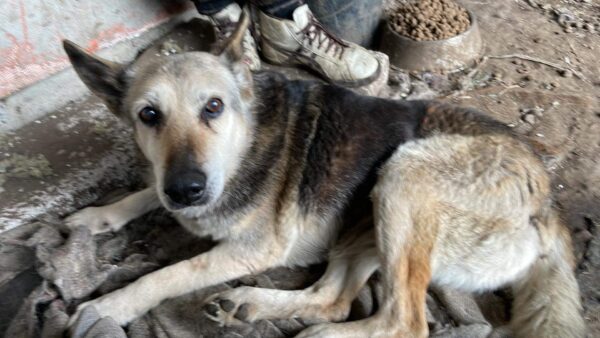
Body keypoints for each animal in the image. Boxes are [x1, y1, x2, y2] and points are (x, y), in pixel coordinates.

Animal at [63, 13, 584, 338]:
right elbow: (144, 191)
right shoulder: (174, 179)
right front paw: (96, 217)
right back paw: (250, 306)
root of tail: (547, 203)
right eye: (149, 115)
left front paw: (111, 306)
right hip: (366, 222)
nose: (188, 190)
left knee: (404, 320)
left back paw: (313, 331)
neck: (246, 139)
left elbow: (168, 275)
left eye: (213, 107)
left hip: (405, 174)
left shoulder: (253, 246)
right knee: (334, 297)